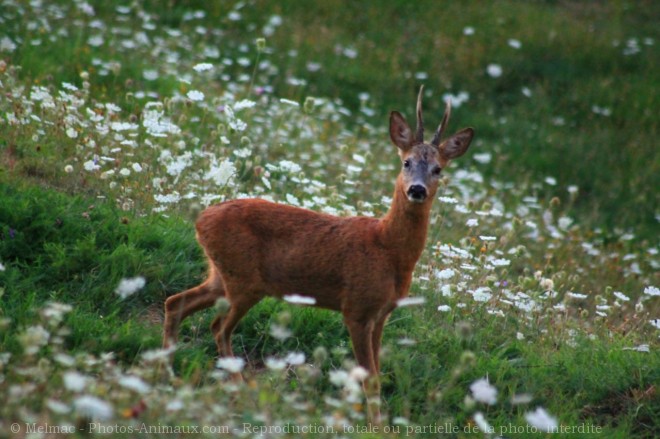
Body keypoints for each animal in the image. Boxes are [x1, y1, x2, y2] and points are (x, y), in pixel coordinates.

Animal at [165, 87, 474, 420]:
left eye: (438, 169)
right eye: (406, 162)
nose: (417, 189)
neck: (387, 248)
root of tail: (201, 219)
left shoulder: (381, 314)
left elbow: (377, 376)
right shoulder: (356, 308)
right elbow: (370, 379)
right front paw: (375, 426)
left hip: (222, 275)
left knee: (176, 303)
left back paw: (167, 368)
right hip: (244, 281)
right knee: (219, 328)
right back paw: (239, 391)